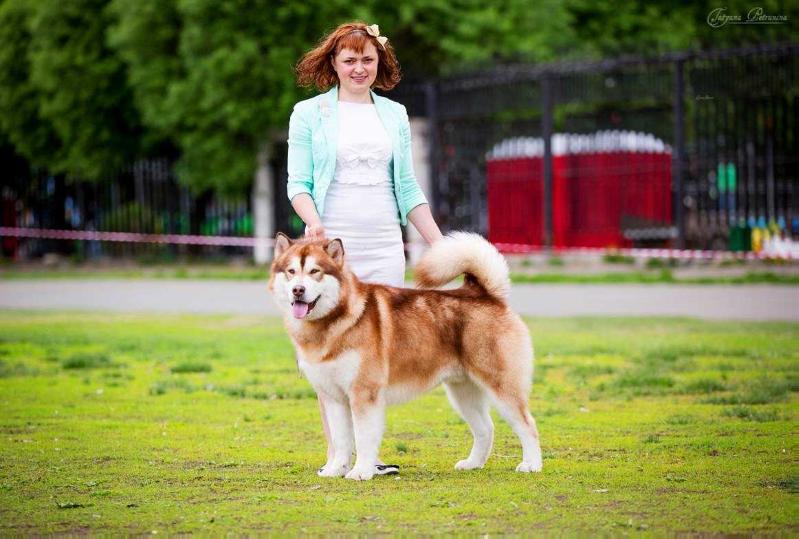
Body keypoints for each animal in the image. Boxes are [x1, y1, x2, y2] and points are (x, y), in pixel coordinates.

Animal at [270, 232, 544, 480]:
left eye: (315, 271)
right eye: (291, 271)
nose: (298, 290)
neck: (332, 322)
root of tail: (485, 294)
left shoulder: (364, 393)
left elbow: (363, 438)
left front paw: (361, 472)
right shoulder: (334, 397)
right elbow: (341, 440)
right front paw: (336, 469)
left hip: (501, 386)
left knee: (527, 424)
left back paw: (531, 464)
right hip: (462, 392)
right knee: (486, 428)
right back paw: (473, 463)